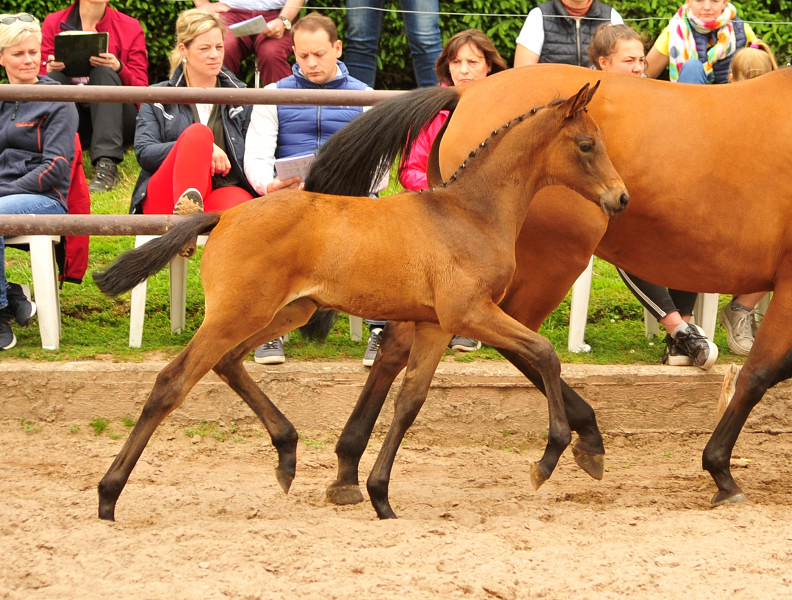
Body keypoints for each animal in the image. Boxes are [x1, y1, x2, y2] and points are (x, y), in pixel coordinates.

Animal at [93, 83, 628, 520]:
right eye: (587, 145)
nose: (620, 198)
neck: (470, 214)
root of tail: (222, 218)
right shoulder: (470, 313)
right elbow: (545, 352)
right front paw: (553, 455)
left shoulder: (434, 325)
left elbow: (410, 401)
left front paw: (379, 495)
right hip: (238, 313)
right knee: (173, 381)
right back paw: (108, 494)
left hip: (287, 310)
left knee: (227, 362)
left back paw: (287, 453)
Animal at [314, 64, 792, 516]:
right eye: (587, 145)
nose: (622, 198)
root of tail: (467, 90)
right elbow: (758, 374)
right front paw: (721, 471)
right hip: (550, 262)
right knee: (520, 341)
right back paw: (585, 436)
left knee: (404, 346)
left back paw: (348, 467)